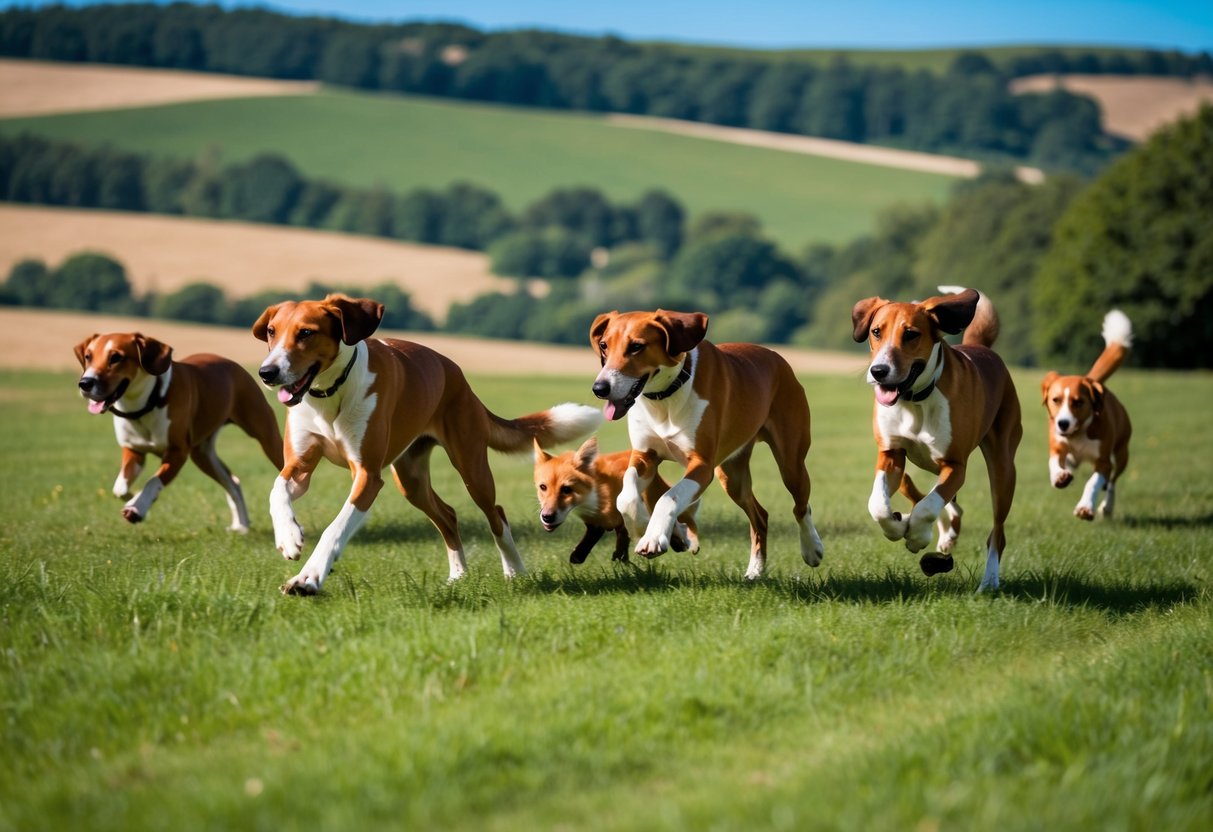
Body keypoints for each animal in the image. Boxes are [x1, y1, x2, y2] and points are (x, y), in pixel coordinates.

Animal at [533, 437, 699, 563]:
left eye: (567, 489)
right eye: (543, 487)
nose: (547, 517)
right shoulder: (594, 523)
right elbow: (594, 539)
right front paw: (580, 554)